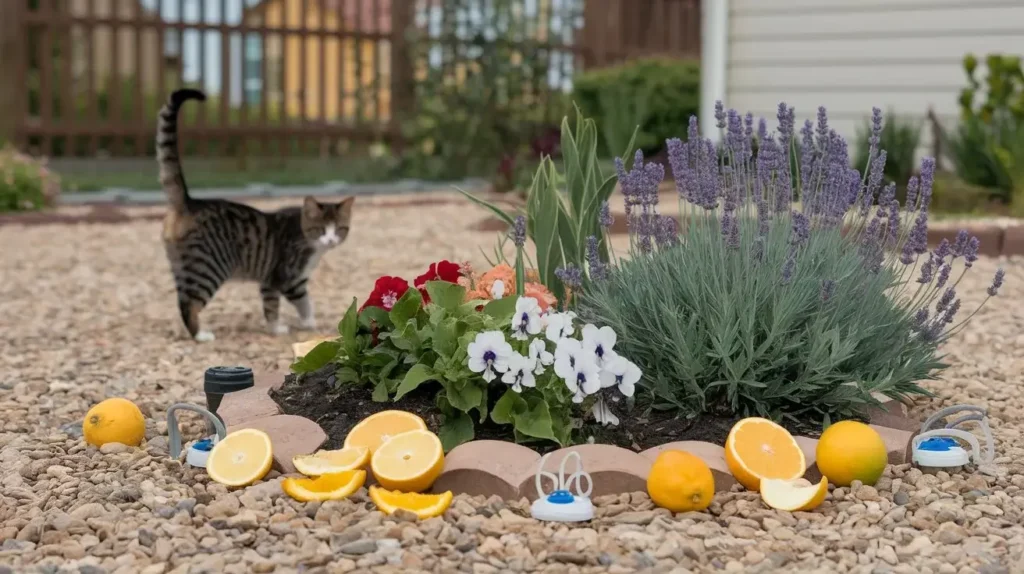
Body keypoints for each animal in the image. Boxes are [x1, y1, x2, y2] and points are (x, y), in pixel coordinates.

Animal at [155, 89, 354, 339]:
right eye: (320, 229)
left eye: (339, 229)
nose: (330, 239)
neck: (307, 239)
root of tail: (189, 202)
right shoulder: (284, 278)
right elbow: (288, 303)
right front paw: (285, 327)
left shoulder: (283, 281)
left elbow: (289, 303)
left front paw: (300, 323)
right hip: (208, 269)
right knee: (190, 303)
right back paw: (200, 335)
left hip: (183, 267)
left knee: (181, 300)